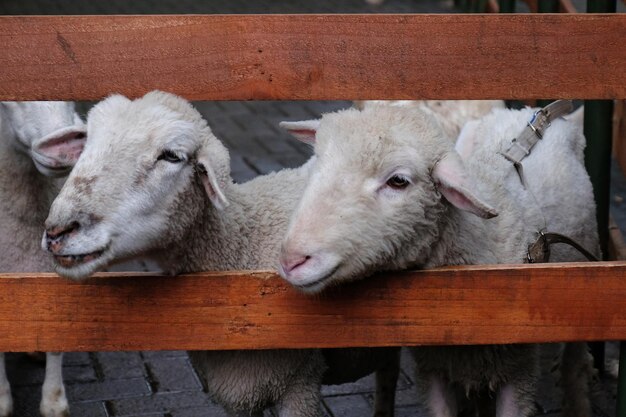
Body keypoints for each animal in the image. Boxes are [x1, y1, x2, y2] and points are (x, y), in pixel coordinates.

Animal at [280, 102, 600, 414]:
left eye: (398, 181)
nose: (292, 260)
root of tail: (530, 114)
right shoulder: (432, 366)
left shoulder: (518, 370)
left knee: (575, 366)